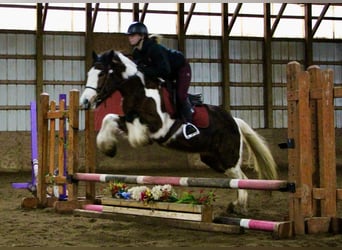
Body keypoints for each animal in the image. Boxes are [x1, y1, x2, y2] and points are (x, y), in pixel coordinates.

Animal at [80, 49, 278, 214]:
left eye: (102, 73)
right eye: (89, 73)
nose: (85, 101)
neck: (139, 90)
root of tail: (234, 121)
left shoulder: (158, 126)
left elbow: (135, 129)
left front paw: (135, 140)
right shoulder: (128, 117)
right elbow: (109, 118)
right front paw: (108, 147)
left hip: (228, 157)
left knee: (241, 177)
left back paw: (238, 206)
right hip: (212, 159)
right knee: (237, 177)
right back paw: (238, 206)